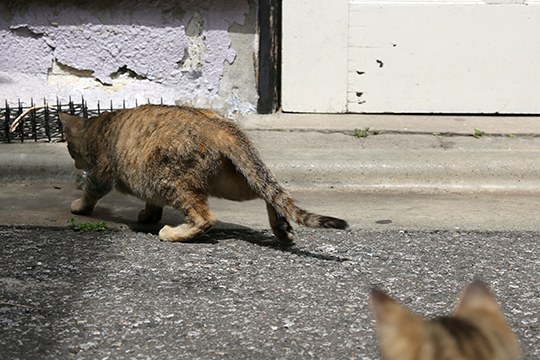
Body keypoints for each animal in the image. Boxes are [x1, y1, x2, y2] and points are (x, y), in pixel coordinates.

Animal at [58, 105, 346, 243]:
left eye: (70, 148)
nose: (74, 162)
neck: (97, 126)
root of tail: (220, 126)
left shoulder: (101, 174)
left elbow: (91, 192)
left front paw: (79, 206)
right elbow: (151, 203)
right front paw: (148, 214)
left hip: (171, 182)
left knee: (205, 218)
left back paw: (173, 234)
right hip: (234, 182)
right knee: (270, 194)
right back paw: (281, 229)